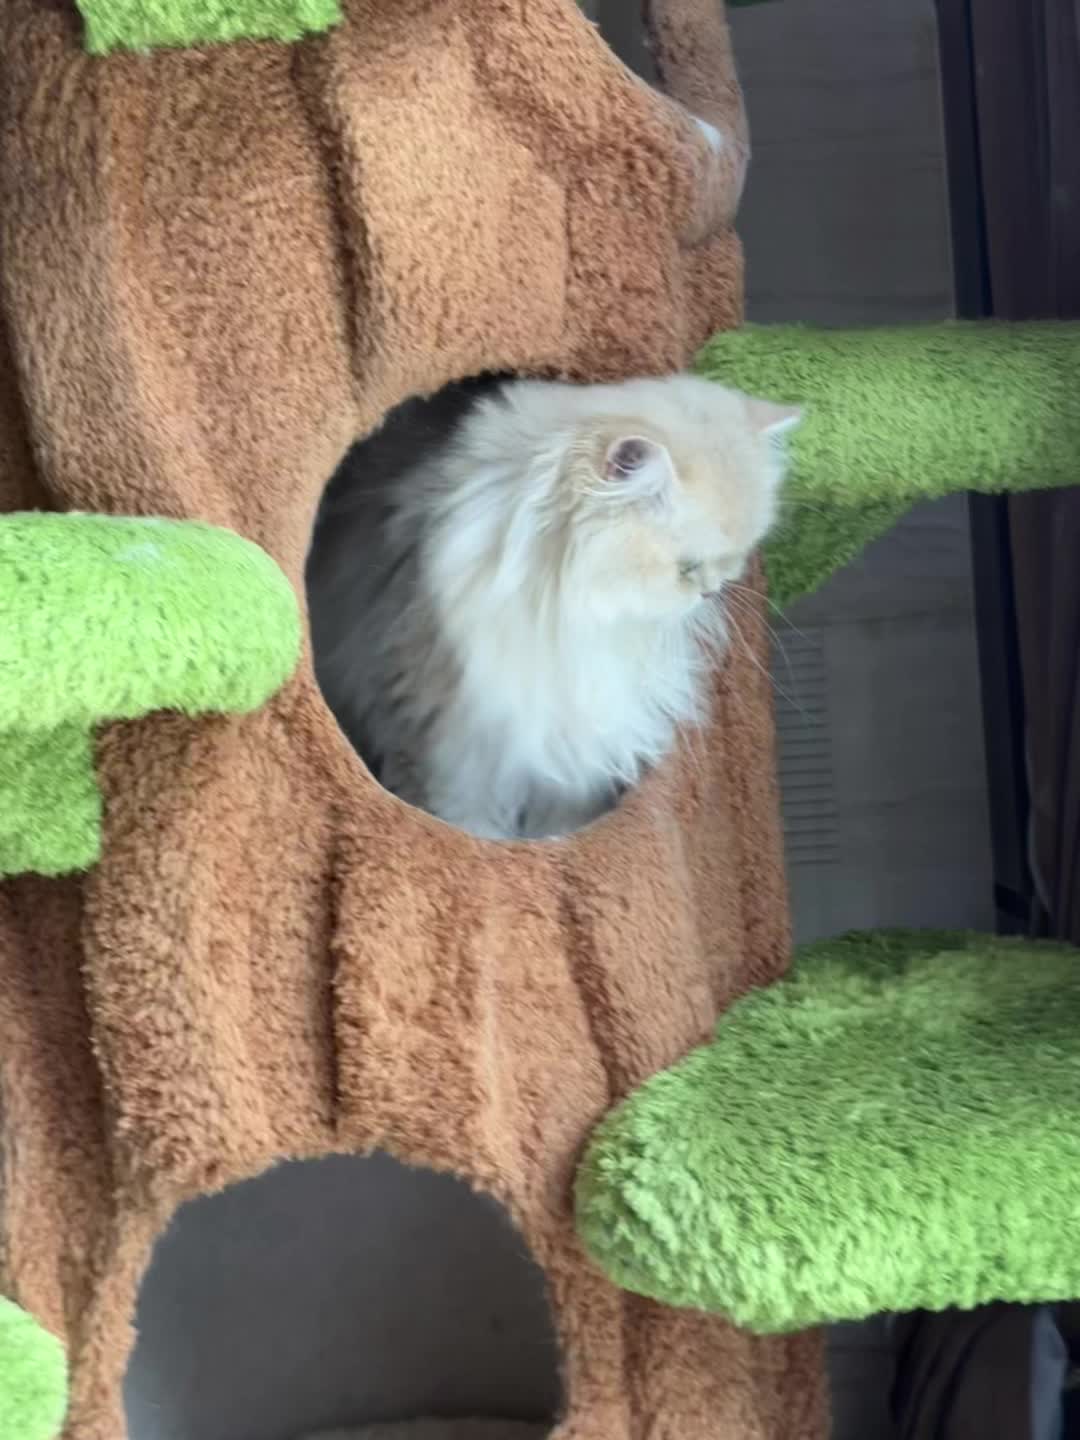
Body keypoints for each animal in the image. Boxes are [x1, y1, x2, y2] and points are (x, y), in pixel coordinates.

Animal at [306, 374, 800, 841]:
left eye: (735, 559)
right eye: (688, 567)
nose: (714, 589)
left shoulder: (574, 760)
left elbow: (558, 821)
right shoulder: (455, 749)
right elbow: (469, 822)